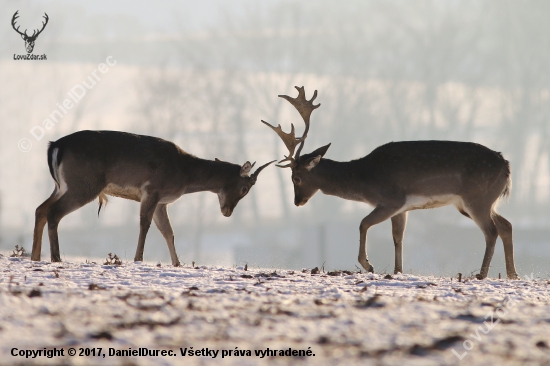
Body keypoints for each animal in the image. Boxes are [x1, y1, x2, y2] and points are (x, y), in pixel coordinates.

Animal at [33, 131, 276, 266]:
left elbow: (168, 232)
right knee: (54, 212)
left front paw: (178, 263)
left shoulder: (162, 202)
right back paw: (55, 257)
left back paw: (35, 256)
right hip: (84, 184)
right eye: (245, 188)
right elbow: (145, 224)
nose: (227, 212)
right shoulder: (153, 190)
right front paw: (138, 258)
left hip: (61, 186)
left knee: (40, 209)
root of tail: (55, 146)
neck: (184, 174)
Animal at [264, 87, 520, 278]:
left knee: (491, 230)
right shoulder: (402, 208)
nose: (298, 201)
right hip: (479, 201)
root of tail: (506, 165)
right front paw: (398, 271)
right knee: (506, 225)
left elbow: (363, 224)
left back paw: (482, 274)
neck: (364, 178)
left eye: (296, 178)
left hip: (477, 197)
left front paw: (368, 265)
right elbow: (398, 238)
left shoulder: (391, 200)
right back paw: (511, 274)